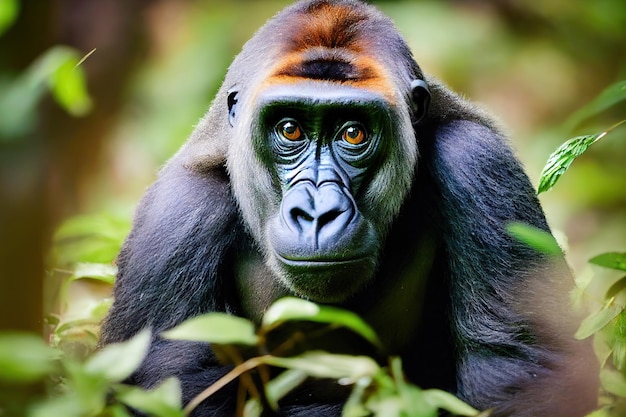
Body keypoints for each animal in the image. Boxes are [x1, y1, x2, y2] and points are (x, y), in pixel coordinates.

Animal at [100, 0, 596, 416]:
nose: (318, 213)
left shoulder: (478, 160)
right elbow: (174, 387)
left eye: (353, 133)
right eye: (290, 130)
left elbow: (519, 372)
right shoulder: (176, 215)